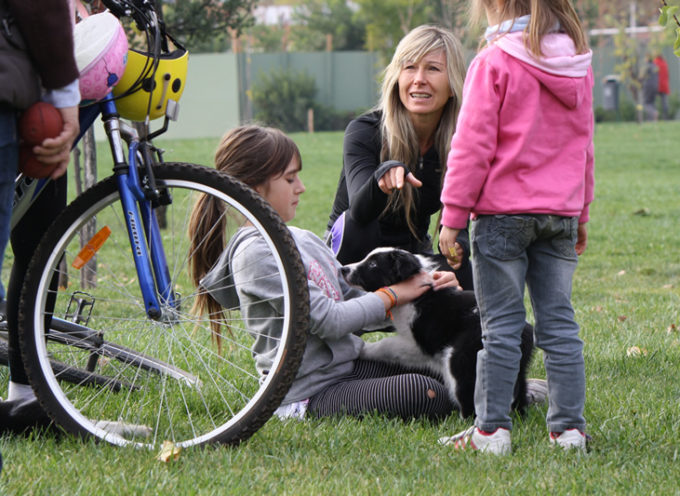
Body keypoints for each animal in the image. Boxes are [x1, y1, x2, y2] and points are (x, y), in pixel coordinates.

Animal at [342, 248, 532, 418]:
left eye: (373, 264)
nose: (343, 269)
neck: (420, 295)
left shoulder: (417, 345)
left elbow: (387, 345)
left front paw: (363, 349)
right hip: (517, 366)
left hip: (461, 357)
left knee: (469, 396)